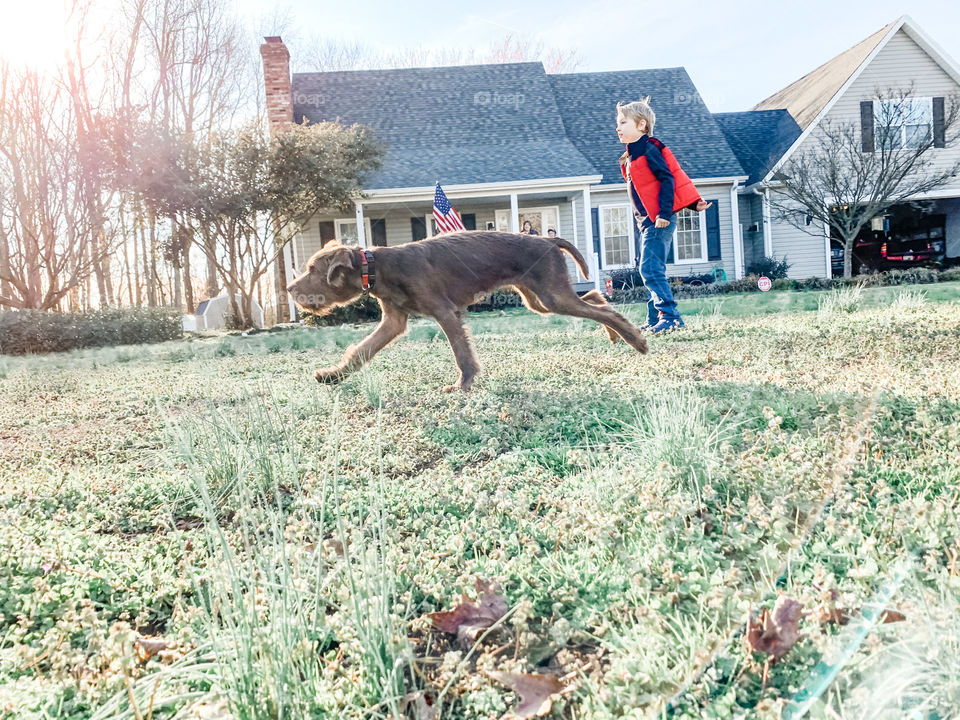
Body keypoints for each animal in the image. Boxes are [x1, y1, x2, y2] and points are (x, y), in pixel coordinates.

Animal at [284, 231, 644, 390]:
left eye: (313, 269)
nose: (289, 289)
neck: (377, 267)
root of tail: (546, 239)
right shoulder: (393, 322)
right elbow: (360, 350)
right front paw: (332, 375)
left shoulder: (445, 312)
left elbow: (461, 354)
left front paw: (463, 386)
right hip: (540, 299)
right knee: (597, 296)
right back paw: (618, 336)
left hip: (551, 296)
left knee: (605, 309)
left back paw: (636, 341)